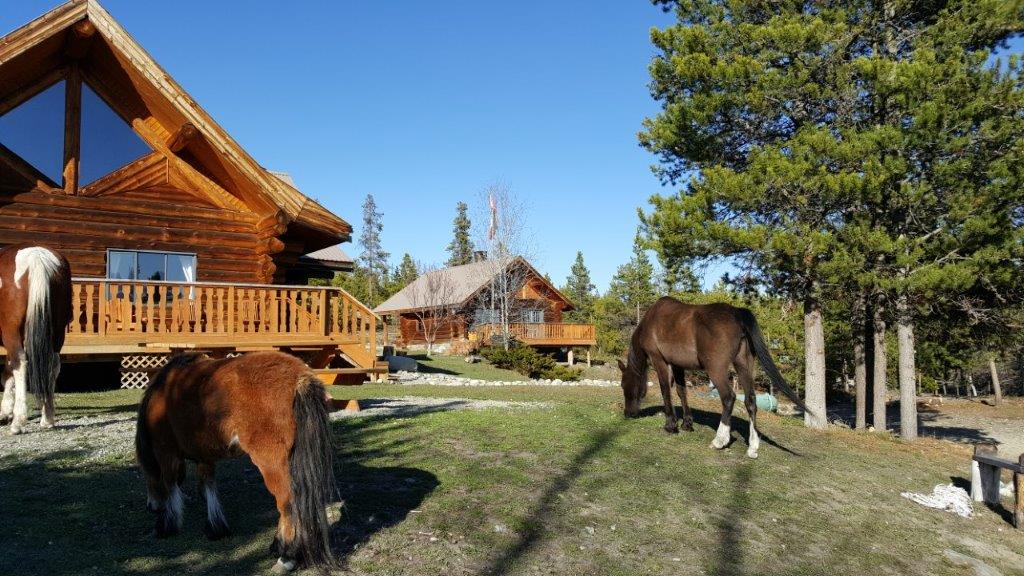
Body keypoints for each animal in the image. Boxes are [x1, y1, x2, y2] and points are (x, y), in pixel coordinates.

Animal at [0, 245, 72, 434]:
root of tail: (37, 256)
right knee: (53, 364)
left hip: (11, 332)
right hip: (57, 333)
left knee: (19, 364)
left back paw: (18, 422)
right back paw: (47, 418)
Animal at [136, 351, 337, 573]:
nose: (151, 506)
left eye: (146, 475)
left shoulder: (165, 451)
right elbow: (208, 486)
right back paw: (279, 546)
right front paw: (216, 527)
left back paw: (286, 557)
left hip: (271, 463)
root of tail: (299, 377)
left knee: (287, 503)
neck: (164, 392)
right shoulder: (204, 456)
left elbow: (170, 484)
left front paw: (168, 525)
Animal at [618, 297, 809, 459]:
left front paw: (671, 425)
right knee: (750, 400)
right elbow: (681, 391)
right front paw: (687, 424)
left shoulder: (659, 360)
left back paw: (719, 440)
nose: (628, 413)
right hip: (744, 365)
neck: (651, 321)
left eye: (624, 385)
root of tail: (736, 313)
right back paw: (752, 448)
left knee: (729, 398)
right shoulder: (678, 364)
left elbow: (666, 390)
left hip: (716, 370)